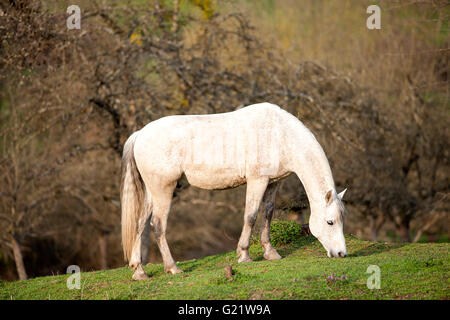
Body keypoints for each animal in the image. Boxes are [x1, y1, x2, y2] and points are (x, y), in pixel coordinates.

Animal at [121, 103, 350, 280]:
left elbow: (267, 213)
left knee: (140, 224)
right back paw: (173, 268)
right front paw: (244, 255)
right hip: (164, 190)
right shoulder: (257, 181)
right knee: (158, 225)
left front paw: (270, 253)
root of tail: (140, 134)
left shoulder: (273, 183)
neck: (279, 134)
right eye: (330, 222)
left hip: (152, 193)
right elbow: (251, 216)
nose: (341, 253)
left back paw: (139, 271)